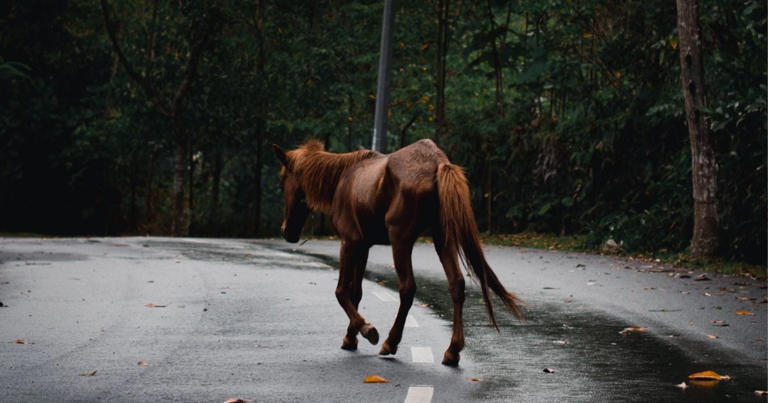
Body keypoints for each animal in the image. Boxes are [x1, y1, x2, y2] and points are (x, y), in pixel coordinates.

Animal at [272, 138, 522, 366]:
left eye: (282, 183)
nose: (286, 231)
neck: (341, 178)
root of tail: (439, 164)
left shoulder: (349, 241)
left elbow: (342, 291)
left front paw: (367, 330)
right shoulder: (364, 245)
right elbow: (356, 292)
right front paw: (351, 336)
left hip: (400, 239)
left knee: (407, 288)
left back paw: (390, 342)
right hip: (443, 237)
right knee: (457, 284)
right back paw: (452, 351)